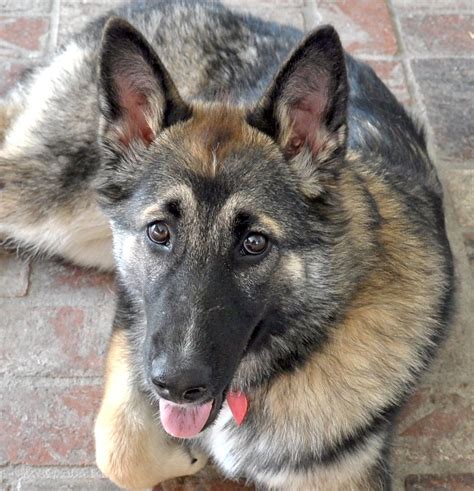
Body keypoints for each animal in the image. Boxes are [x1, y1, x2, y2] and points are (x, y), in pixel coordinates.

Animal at [0, 1, 454, 490]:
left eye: (254, 243)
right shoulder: (132, 320)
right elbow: (120, 447)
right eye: (159, 232)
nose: (177, 386)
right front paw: (184, 456)